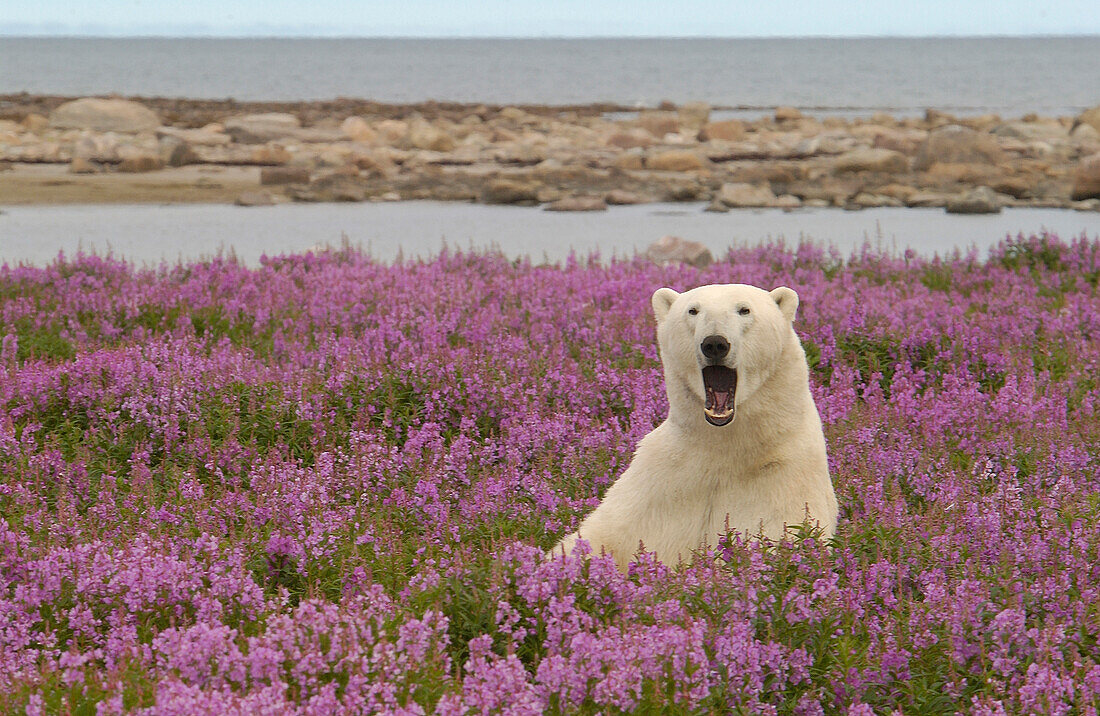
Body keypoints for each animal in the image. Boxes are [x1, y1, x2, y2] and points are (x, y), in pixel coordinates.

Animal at [554, 283, 836, 567]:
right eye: (693, 310)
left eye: (744, 309)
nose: (715, 344)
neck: (725, 442)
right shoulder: (661, 481)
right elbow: (604, 534)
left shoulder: (782, 478)